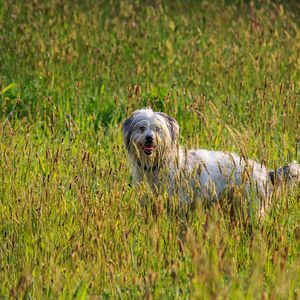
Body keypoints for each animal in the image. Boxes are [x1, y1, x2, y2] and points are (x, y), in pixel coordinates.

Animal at [122, 108, 300, 216]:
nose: (149, 138)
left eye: (157, 129)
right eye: (141, 128)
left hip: (251, 208)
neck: (160, 162)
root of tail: (265, 172)